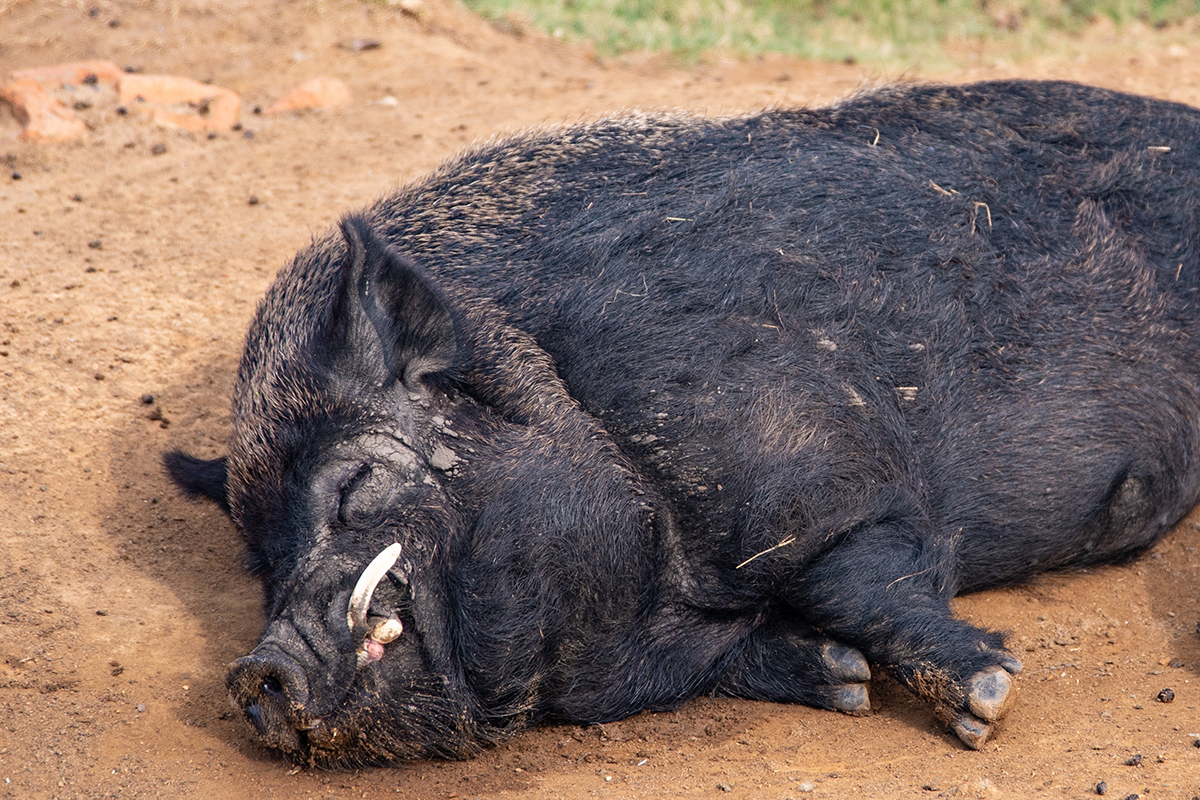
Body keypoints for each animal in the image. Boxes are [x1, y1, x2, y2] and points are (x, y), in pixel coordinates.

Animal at [166, 79, 1200, 762]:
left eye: (352, 483)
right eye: (259, 563)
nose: (257, 673)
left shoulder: (829, 479)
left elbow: (862, 578)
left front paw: (989, 702)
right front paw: (843, 682)